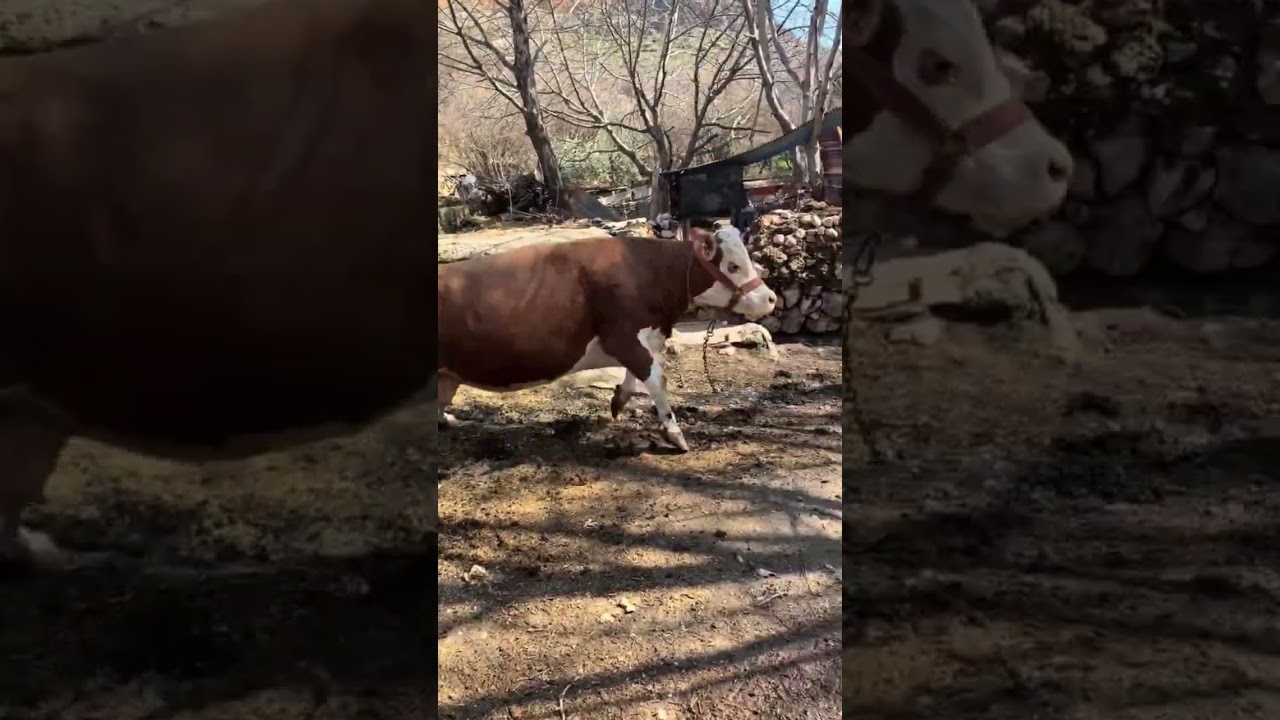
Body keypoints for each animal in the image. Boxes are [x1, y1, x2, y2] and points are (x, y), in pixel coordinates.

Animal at [437, 226, 775, 453]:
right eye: (733, 265)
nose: (771, 298)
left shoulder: (639, 339)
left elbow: (638, 377)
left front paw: (619, 399)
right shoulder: (622, 336)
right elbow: (656, 378)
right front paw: (674, 433)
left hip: (446, 375)